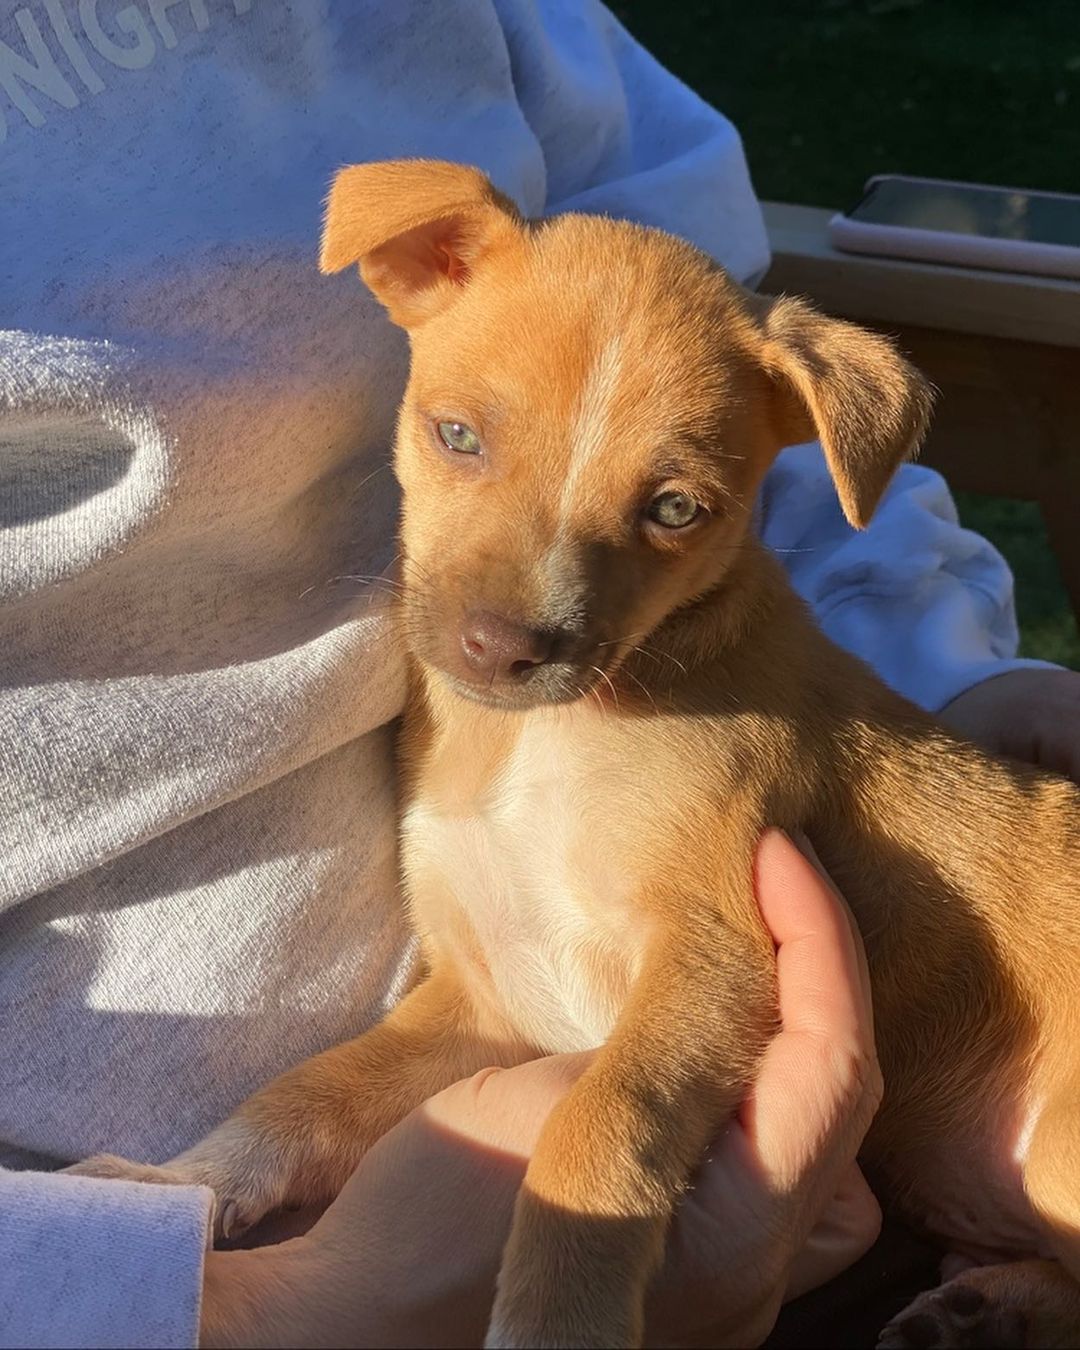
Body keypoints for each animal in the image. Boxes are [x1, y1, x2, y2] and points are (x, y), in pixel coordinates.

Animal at [71, 163, 1080, 1344]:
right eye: (457, 437)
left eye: (678, 508)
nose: (503, 648)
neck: (537, 742)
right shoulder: (485, 1002)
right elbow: (310, 1092)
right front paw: (178, 1183)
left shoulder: (714, 956)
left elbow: (597, 1129)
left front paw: (559, 1320)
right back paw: (980, 1308)